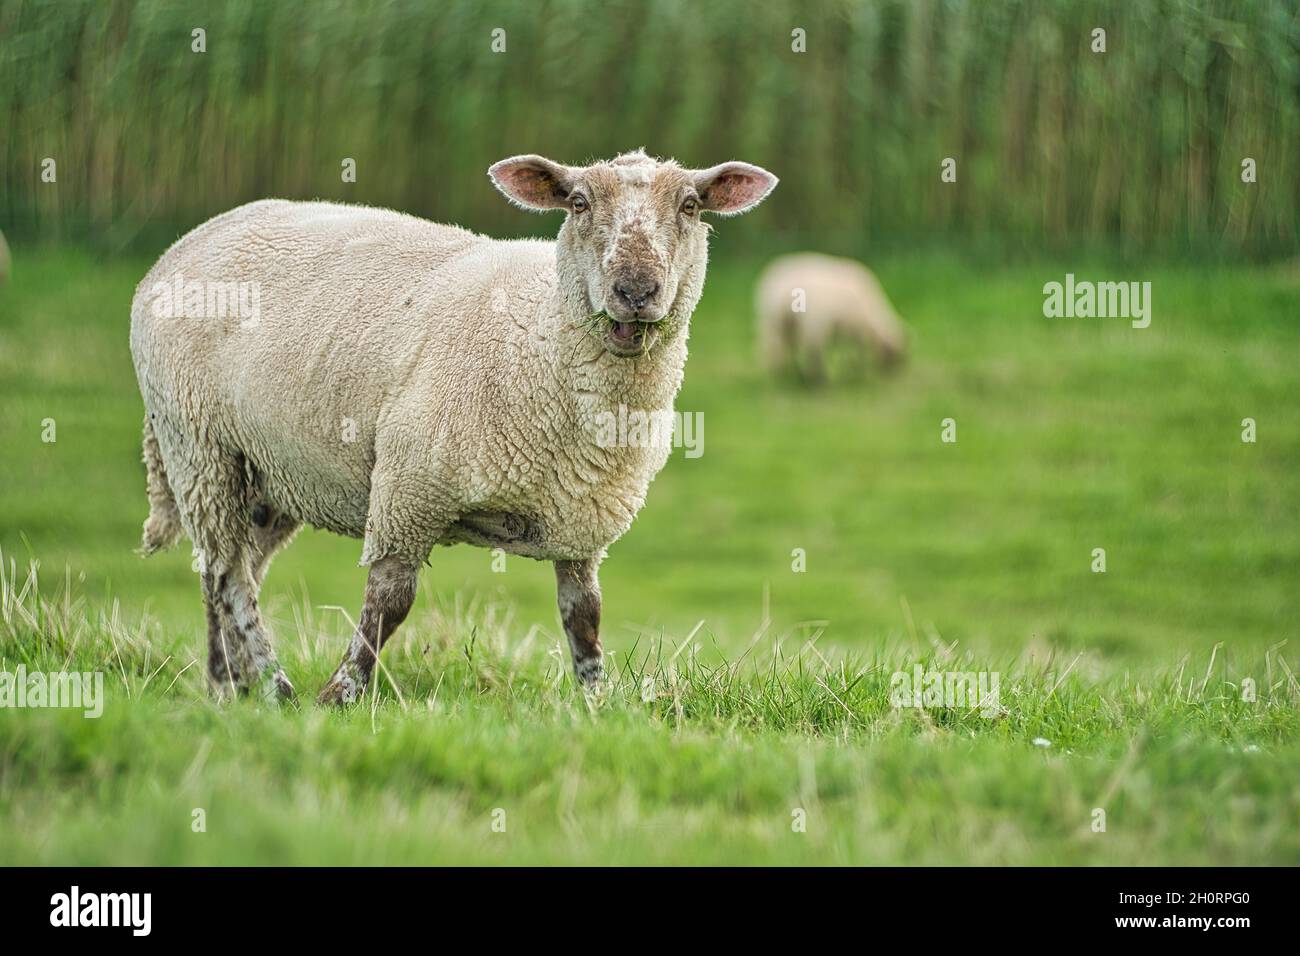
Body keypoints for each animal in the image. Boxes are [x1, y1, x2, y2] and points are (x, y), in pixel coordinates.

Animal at [128, 149, 774, 702]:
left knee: (226, 571)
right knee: (230, 575)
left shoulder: (580, 521)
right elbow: (388, 603)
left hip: (270, 469)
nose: (635, 290)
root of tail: (191, 239)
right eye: (578, 202)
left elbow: (583, 615)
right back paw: (272, 686)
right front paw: (339, 696)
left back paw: (227, 686)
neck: (538, 340)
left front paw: (596, 701)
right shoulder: (408, 492)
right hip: (198, 445)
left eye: (690, 205)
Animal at [759, 252, 909, 382]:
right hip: (813, 325)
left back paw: (785, 375)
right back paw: (818, 380)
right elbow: (859, 351)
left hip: (773, 324)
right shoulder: (857, 328)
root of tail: (783, 293)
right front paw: (858, 371)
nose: (896, 377)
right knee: (812, 352)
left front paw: (851, 367)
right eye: (897, 356)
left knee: (777, 349)